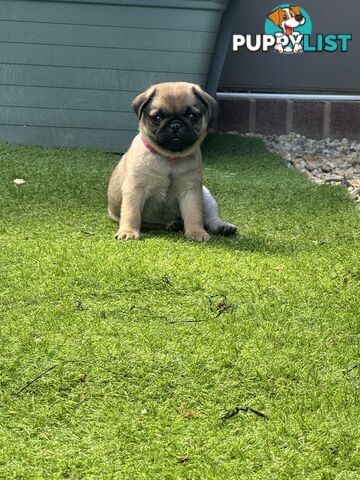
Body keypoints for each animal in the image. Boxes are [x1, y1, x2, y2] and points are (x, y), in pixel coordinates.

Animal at [107, 81, 236, 244]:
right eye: (157, 118)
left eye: (192, 116)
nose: (175, 125)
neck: (170, 158)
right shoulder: (135, 189)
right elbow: (132, 213)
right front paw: (128, 231)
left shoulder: (191, 191)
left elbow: (194, 214)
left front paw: (196, 232)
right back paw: (174, 223)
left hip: (206, 195)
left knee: (210, 218)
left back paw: (222, 226)